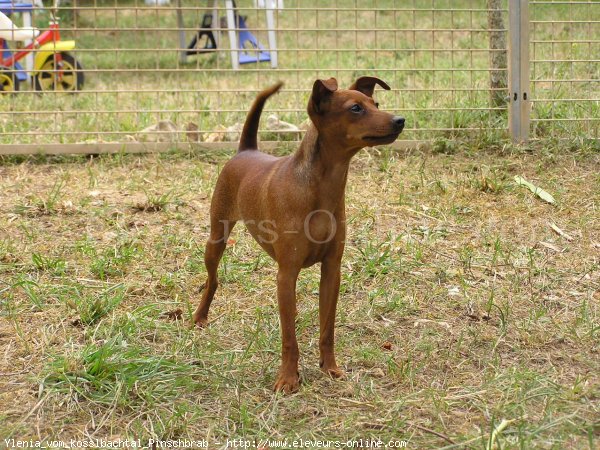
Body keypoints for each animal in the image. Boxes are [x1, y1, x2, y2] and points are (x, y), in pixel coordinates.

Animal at [195, 77, 406, 394]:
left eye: (376, 104)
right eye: (355, 108)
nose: (400, 120)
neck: (320, 188)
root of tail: (246, 150)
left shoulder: (331, 271)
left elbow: (327, 328)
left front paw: (330, 367)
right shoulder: (287, 275)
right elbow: (289, 337)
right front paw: (287, 378)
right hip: (216, 238)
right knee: (213, 279)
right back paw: (199, 316)